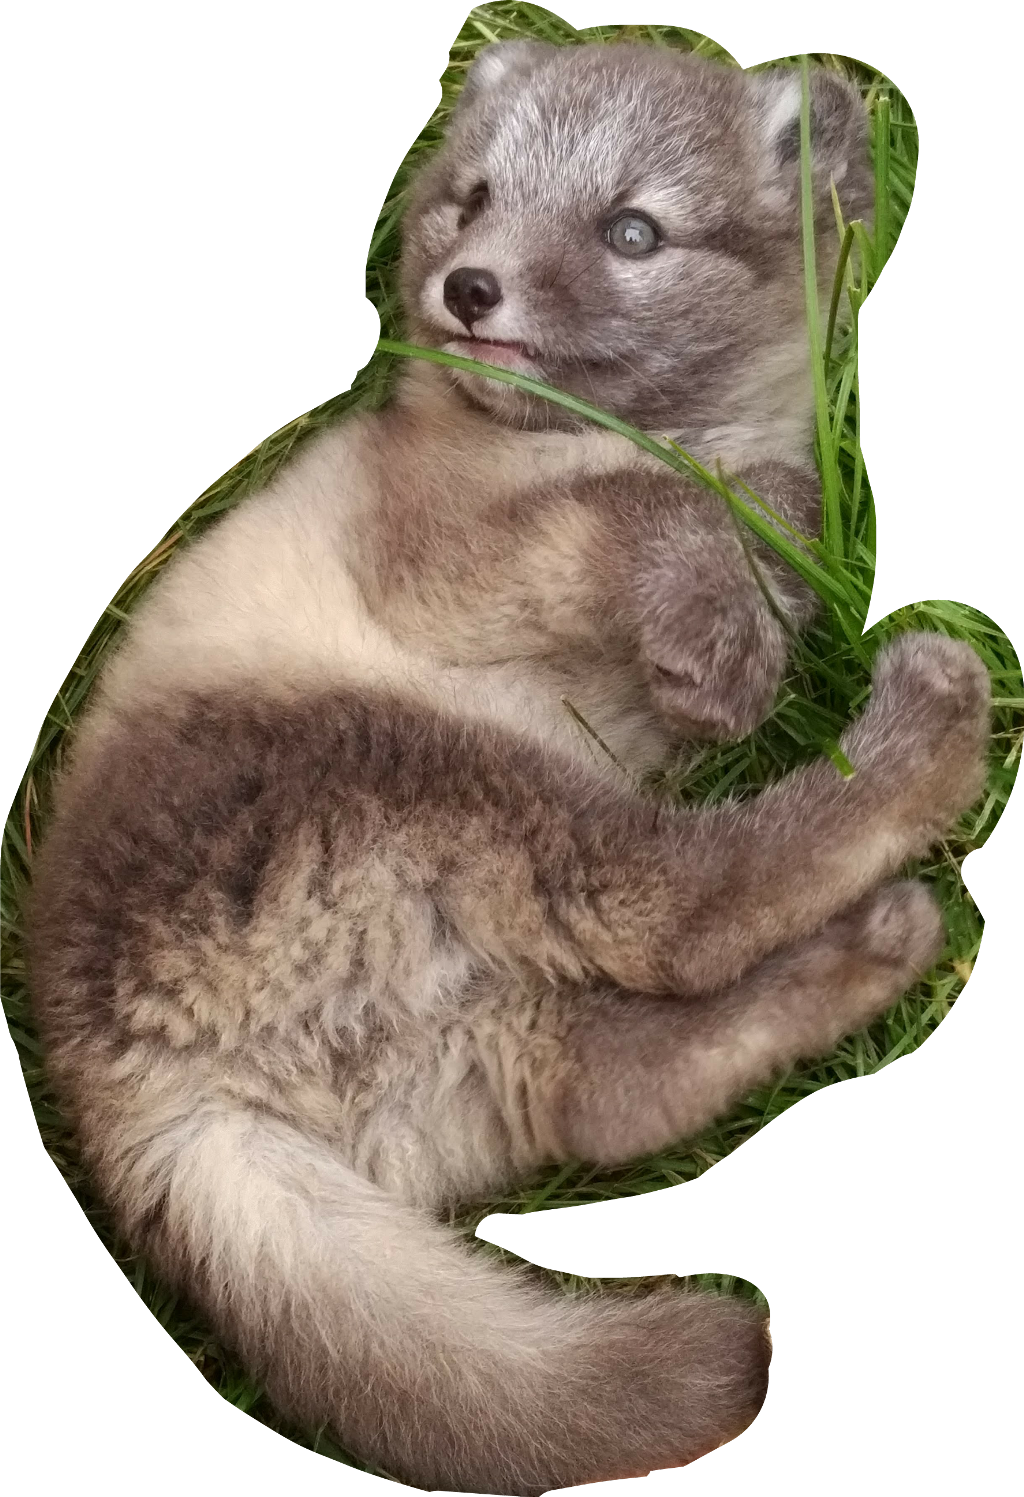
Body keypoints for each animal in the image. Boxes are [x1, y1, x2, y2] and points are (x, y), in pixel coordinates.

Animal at [26, 38, 989, 1494]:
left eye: (633, 229)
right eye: (473, 196)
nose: (467, 288)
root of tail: (129, 1094)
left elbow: (771, 504)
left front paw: (748, 605)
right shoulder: (440, 559)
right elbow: (639, 507)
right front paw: (718, 630)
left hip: (470, 1051)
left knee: (614, 1088)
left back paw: (877, 945)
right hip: (441, 777)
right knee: (680, 908)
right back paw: (932, 724)